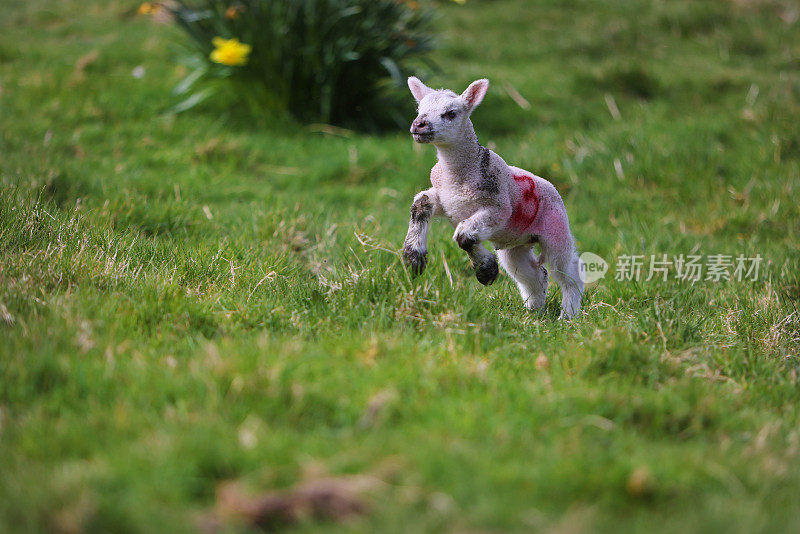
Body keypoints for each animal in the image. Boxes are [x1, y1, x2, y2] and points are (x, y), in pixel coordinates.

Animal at [400, 77, 580, 320]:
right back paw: (533, 310)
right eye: (419, 109)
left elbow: (464, 236)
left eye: (451, 113)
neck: (456, 176)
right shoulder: (447, 201)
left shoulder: (498, 208)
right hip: (515, 245)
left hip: (556, 228)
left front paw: (486, 270)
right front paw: (414, 257)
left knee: (569, 271)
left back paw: (568, 315)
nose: (419, 124)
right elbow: (422, 203)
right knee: (534, 273)